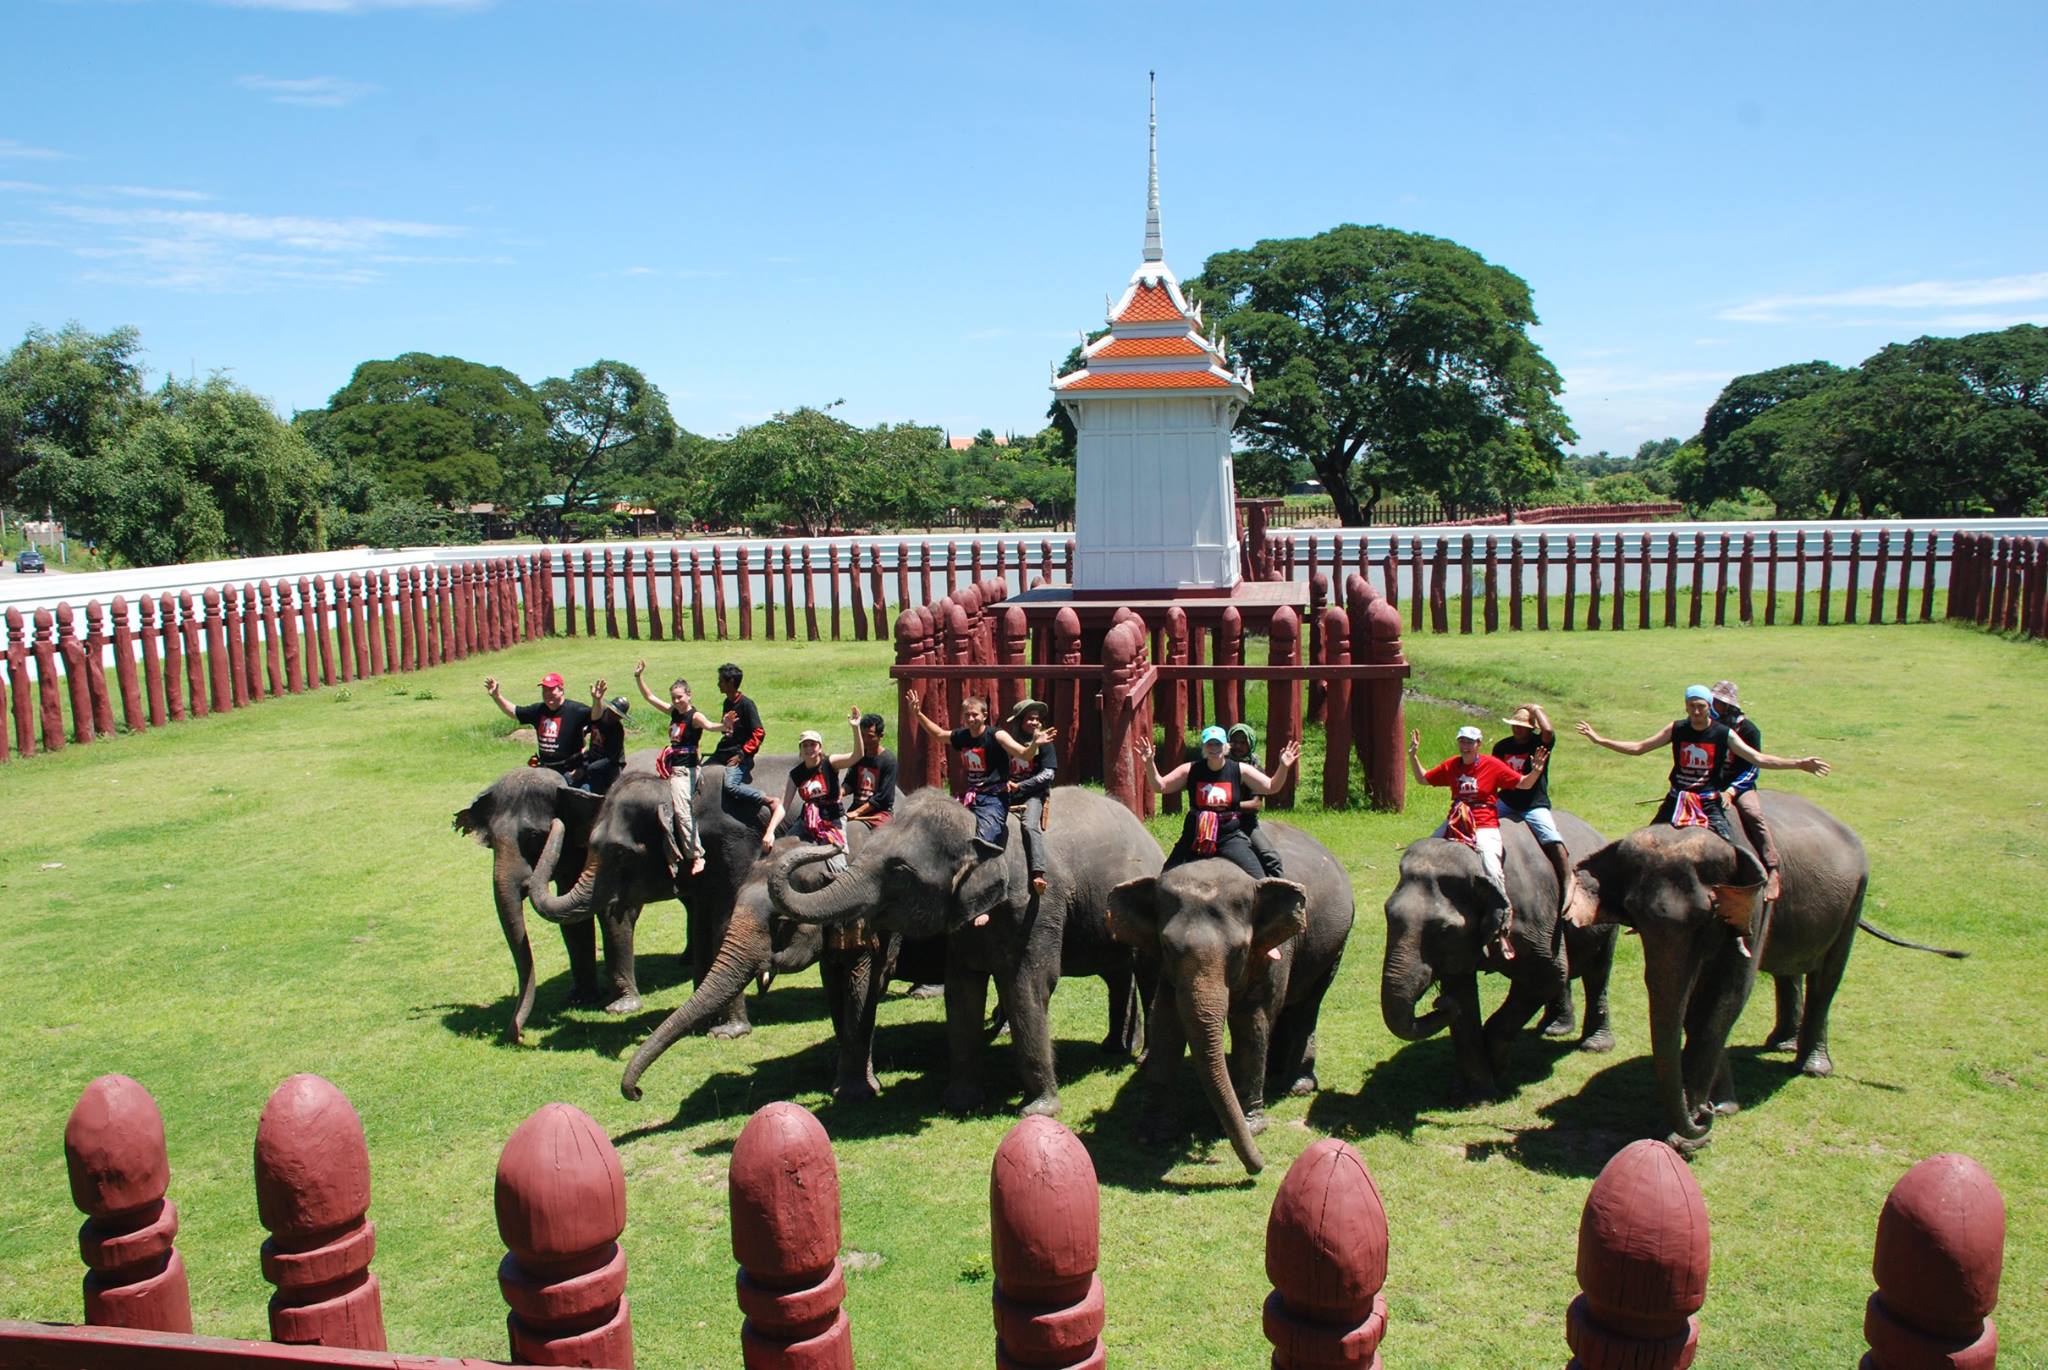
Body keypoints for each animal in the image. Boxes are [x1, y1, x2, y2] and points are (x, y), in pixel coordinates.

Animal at [520, 757, 790, 1023]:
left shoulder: (738, 848)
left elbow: (728, 923)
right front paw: (701, 1020)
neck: (672, 793)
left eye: (620, 853)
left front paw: (727, 1028)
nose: (555, 822)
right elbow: (703, 922)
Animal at [770, 786, 1163, 1114]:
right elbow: (962, 993)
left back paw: (1141, 1058)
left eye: (899, 871)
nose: (831, 845)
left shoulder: (1036, 909)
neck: (982, 835)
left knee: (1147, 975)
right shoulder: (962, 923)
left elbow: (1027, 988)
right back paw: (1114, 1047)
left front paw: (1038, 1111)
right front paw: (959, 1103)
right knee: (1117, 975)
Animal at [1105, 823, 1359, 1179]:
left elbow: (1251, 1023)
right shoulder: (1168, 971)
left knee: (1307, 1005)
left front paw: (1252, 1126)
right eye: (1167, 946)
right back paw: (1276, 1074)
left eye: (1239, 950)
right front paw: (1150, 1135)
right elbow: (1167, 1023)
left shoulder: (1273, 950)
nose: (1259, 1168)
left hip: (1336, 943)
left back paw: (1296, 1085)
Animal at [1376, 806, 1613, 1097]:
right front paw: (1477, 1096)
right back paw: (1554, 1028)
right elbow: (1463, 994)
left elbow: (1546, 975)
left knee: (1597, 973)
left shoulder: (1536, 918)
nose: (1438, 1003)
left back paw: (1594, 1045)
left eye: (1443, 929)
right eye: (1387, 914)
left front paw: (1496, 1066)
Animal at [1572, 786, 1957, 1146]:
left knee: (1827, 978)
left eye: (1706, 916)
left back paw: (1812, 1067)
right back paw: (1781, 1044)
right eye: (1632, 913)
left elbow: (1723, 998)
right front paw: (1718, 1109)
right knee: (1791, 971)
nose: (1704, 1115)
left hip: (1855, 897)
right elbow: (1695, 1002)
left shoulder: (1754, 904)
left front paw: (1690, 1134)